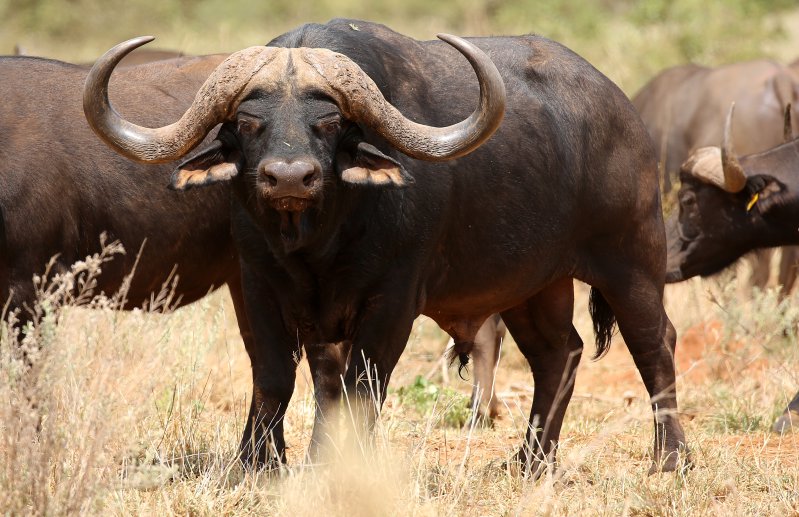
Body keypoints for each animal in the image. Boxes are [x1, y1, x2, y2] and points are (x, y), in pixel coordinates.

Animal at [84, 19, 687, 476]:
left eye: (328, 122)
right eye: (249, 122)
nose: (289, 177)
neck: (318, 246)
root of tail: (623, 111)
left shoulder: (393, 300)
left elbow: (362, 386)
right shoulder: (261, 288)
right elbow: (287, 378)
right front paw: (263, 462)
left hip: (632, 258)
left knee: (654, 343)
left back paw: (669, 458)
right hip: (535, 285)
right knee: (558, 355)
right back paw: (530, 461)